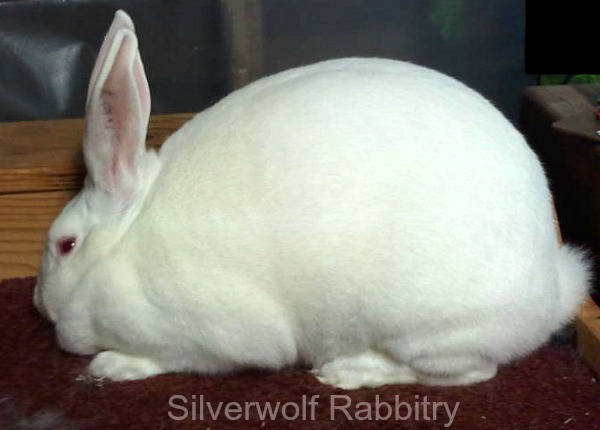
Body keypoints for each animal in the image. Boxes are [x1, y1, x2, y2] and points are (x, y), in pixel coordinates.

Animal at [34, 10, 592, 388]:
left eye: (65, 246)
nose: (38, 303)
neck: (125, 243)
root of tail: (553, 290)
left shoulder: (211, 332)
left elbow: (177, 357)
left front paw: (111, 364)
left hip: (430, 331)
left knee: (468, 373)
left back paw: (347, 372)